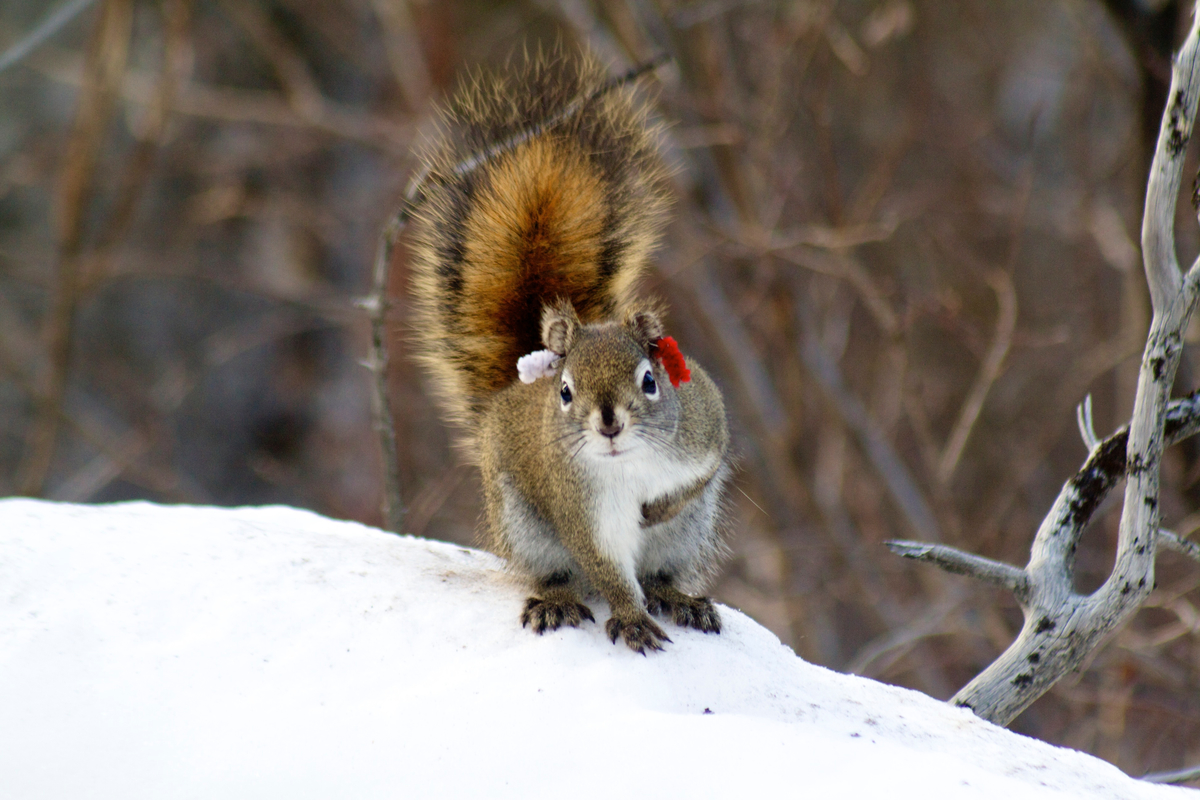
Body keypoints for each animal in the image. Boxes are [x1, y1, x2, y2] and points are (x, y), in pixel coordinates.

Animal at [405, 53, 731, 654]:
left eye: (651, 381)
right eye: (564, 392)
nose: (608, 424)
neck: (631, 464)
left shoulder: (704, 428)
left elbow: (699, 475)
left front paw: (658, 508)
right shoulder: (580, 508)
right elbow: (606, 567)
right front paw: (630, 618)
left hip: (686, 537)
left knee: (661, 573)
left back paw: (680, 598)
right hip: (526, 526)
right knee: (562, 574)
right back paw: (557, 600)